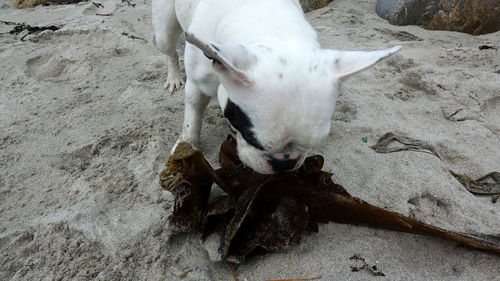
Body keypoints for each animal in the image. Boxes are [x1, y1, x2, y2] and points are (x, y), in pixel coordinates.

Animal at [150, 0, 400, 174]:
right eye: (252, 139)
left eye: (315, 143)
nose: (285, 163)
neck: (271, 31)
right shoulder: (197, 85)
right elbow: (192, 118)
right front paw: (185, 147)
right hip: (164, 29)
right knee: (169, 49)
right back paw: (174, 76)